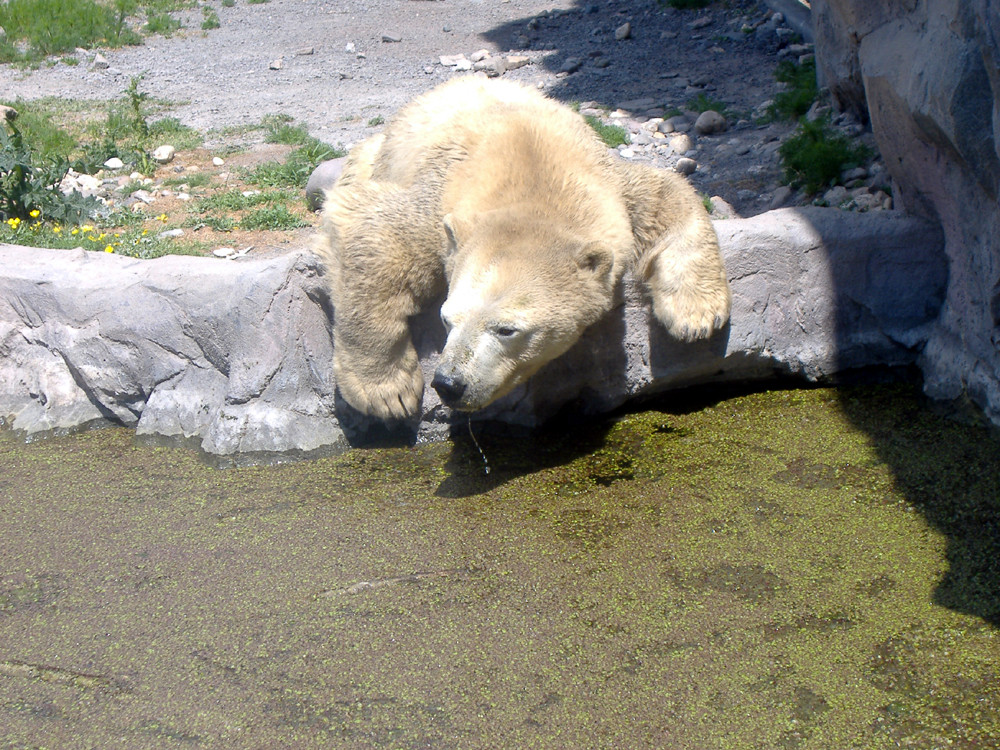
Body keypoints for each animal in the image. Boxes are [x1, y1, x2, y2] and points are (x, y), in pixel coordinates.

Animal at [316, 78, 732, 424]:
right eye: (447, 319)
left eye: (506, 329)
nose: (449, 383)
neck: (528, 162)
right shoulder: (438, 202)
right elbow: (372, 229)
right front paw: (386, 392)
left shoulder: (610, 185)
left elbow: (666, 193)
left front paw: (695, 315)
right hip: (377, 153)